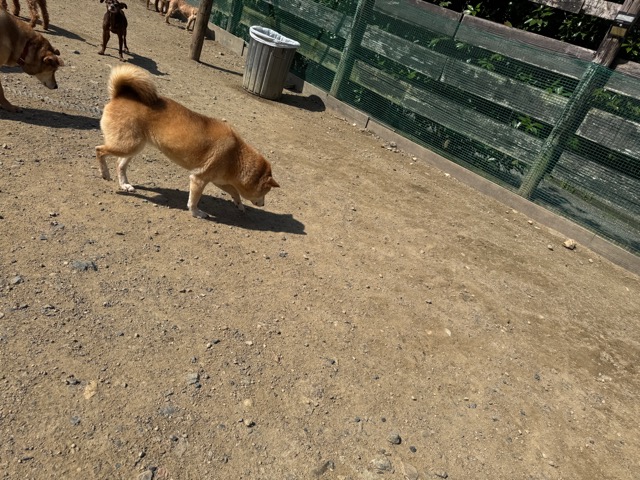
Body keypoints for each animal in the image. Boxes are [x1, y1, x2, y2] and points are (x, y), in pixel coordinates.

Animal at [96, 65, 280, 218]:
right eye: (265, 193)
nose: (263, 205)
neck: (236, 156)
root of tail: (119, 95)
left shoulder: (218, 180)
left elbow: (234, 191)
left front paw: (239, 204)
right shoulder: (199, 179)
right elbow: (194, 200)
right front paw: (197, 213)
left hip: (134, 147)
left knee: (120, 164)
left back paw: (125, 185)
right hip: (127, 146)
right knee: (99, 150)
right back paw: (105, 173)